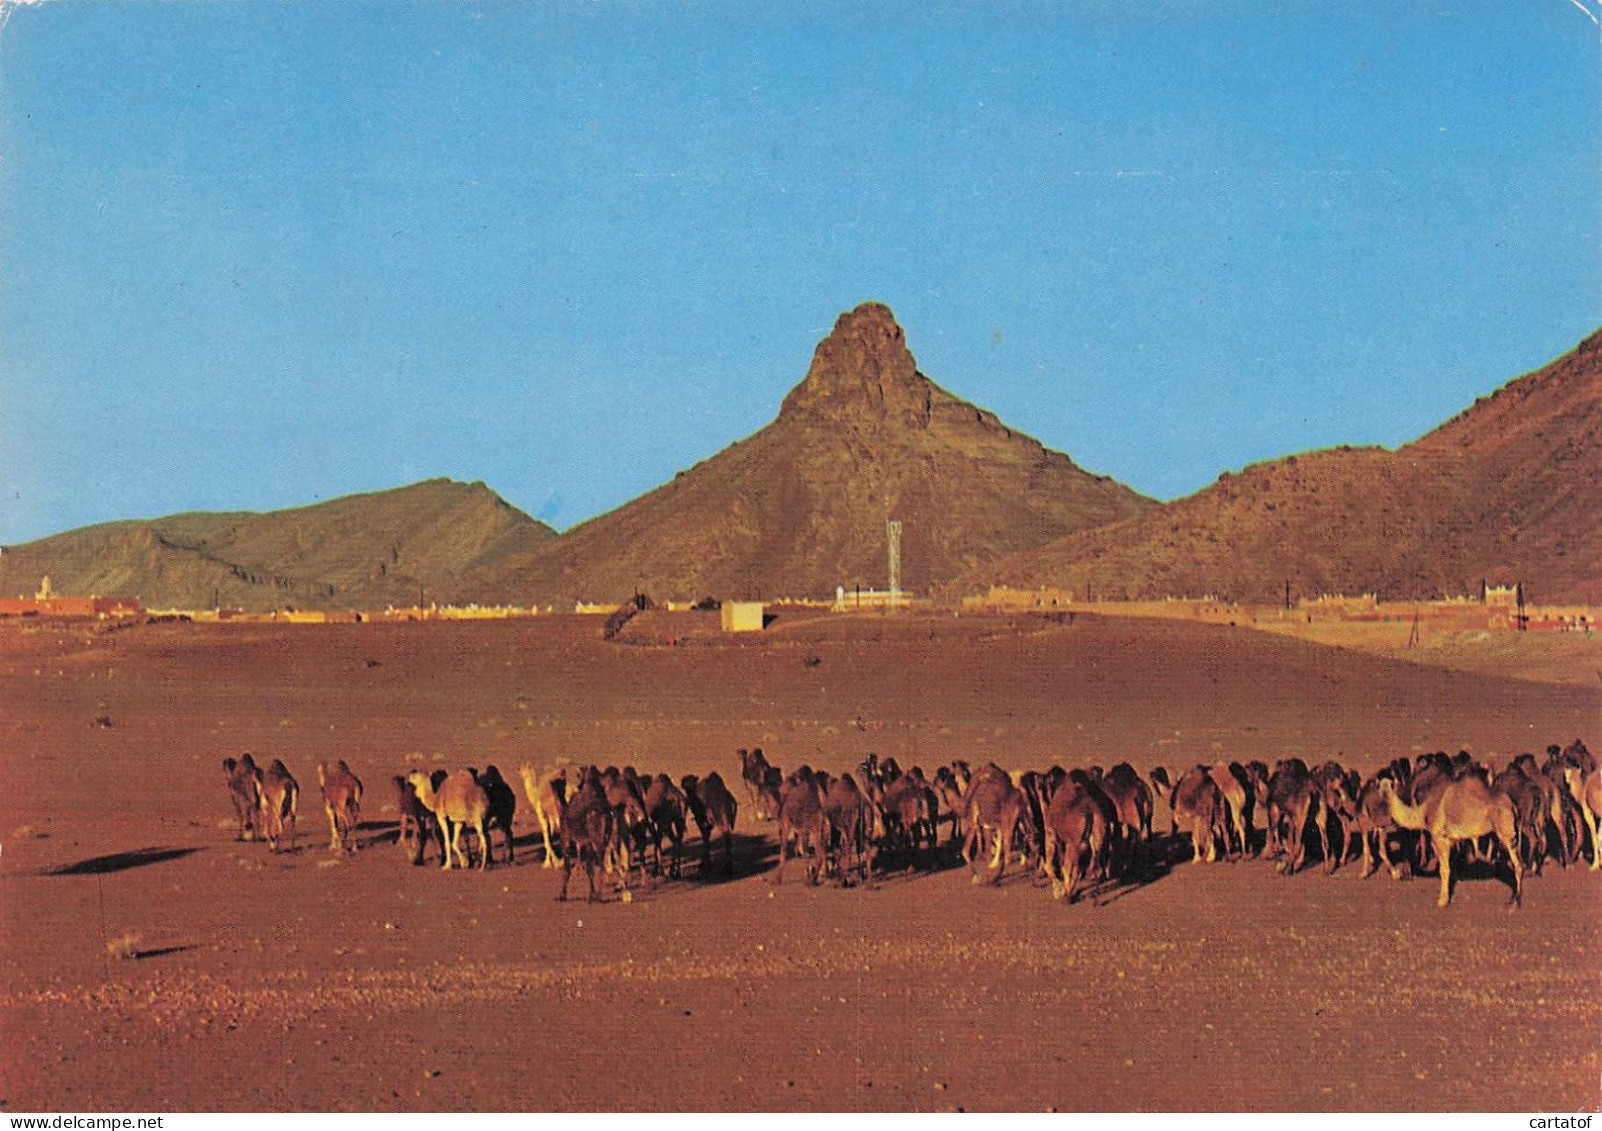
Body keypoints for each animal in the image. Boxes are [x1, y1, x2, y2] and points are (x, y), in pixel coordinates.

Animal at [1377, 775, 1525, 909]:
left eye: (1389, 785)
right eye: (1380, 786)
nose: (1383, 792)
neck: (1423, 813)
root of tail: (1512, 805)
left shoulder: (1439, 837)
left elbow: (1444, 869)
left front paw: (1442, 902)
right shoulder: (1450, 839)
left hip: (1505, 830)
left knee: (1518, 864)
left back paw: (1515, 902)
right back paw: (1513, 900)